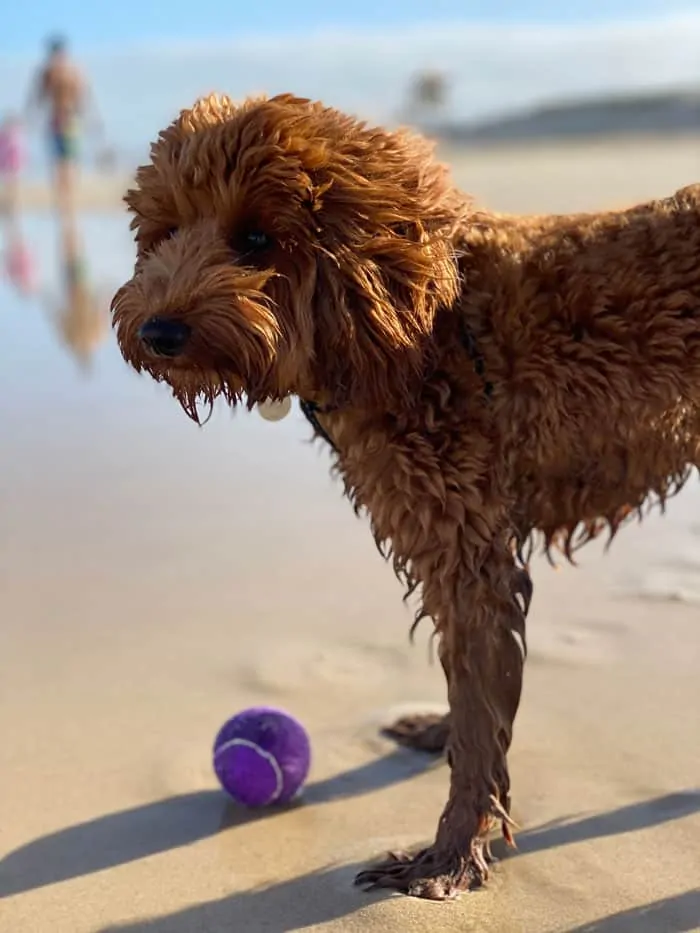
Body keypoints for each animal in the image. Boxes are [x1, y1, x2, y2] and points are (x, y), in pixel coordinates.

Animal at [112, 93, 700, 896]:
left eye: (257, 238)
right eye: (165, 229)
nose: (157, 331)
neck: (418, 324)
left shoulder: (469, 549)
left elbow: (481, 721)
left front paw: (446, 857)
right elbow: (472, 691)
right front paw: (439, 740)